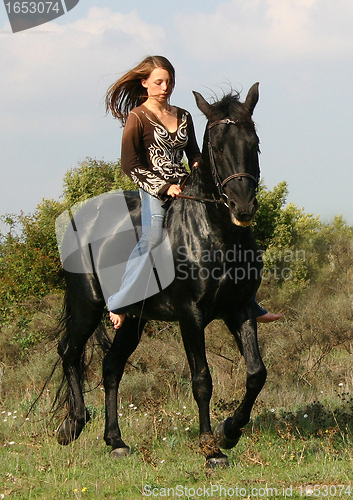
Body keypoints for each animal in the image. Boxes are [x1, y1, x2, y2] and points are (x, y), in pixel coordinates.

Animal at [57, 84, 266, 466]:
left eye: (253, 142)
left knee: (111, 367)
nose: (242, 207)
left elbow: (256, 373)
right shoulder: (190, 315)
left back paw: (115, 440)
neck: (216, 236)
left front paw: (230, 431)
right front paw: (210, 447)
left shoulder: (240, 309)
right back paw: (74, 425)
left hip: (133, 320)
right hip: (87, 305)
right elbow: (202, 379)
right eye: (216, 146)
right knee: (70, 352)